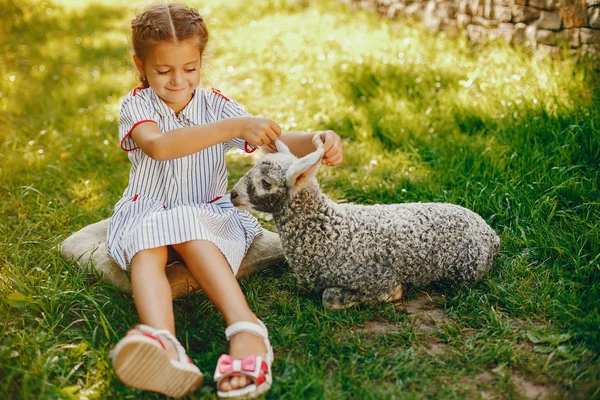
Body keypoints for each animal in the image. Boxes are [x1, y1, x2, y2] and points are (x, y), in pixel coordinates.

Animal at [231, 141, 502, 310]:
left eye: (266, 182)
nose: (233, 195)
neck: (326, 229)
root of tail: (490, 233)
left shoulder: (374, 277)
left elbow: (329, 298)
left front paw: (394, 294)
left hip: (467, 269)